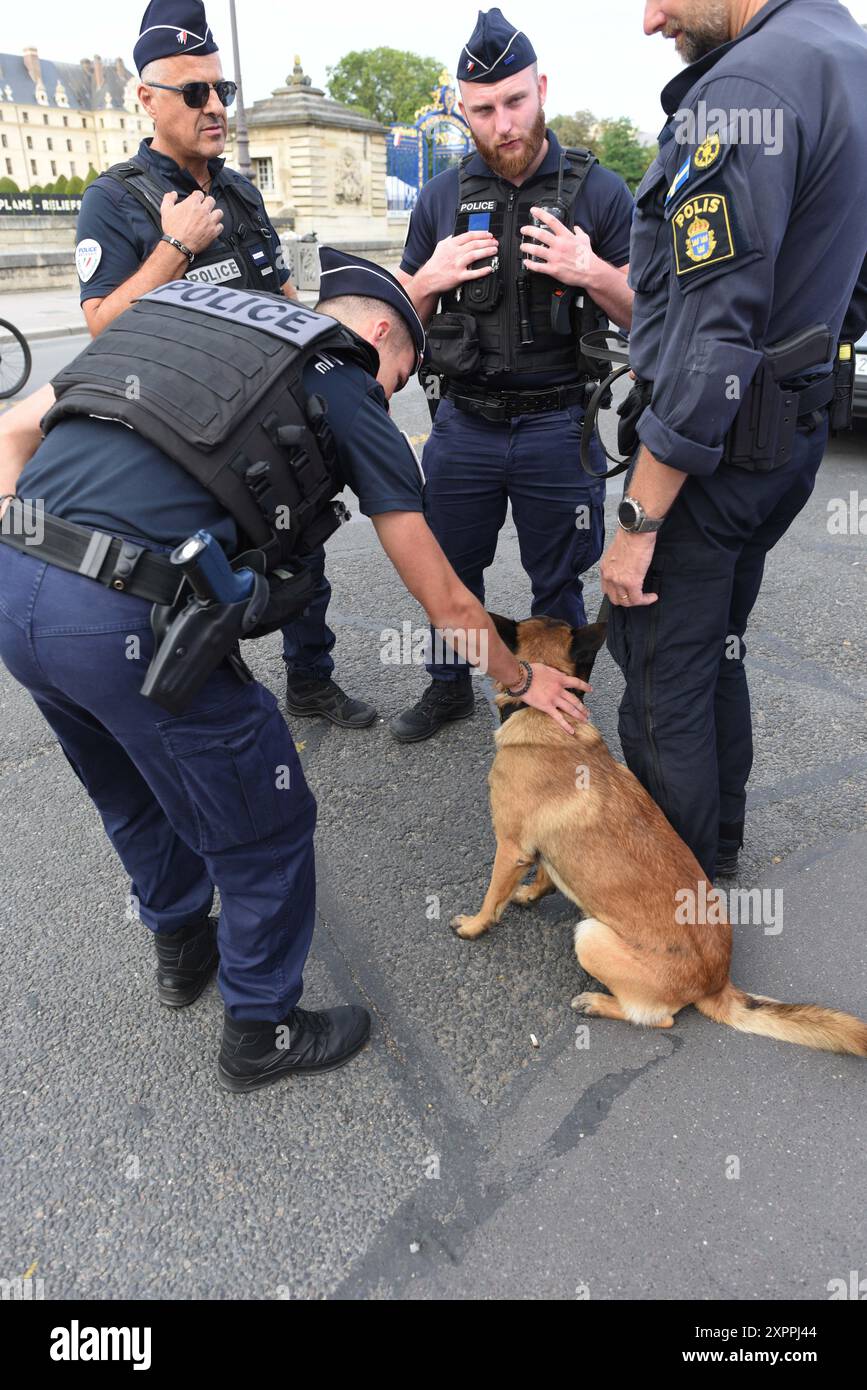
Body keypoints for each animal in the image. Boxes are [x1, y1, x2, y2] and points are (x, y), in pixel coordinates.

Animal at [450, 614, 867, 1056]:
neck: (545, 716)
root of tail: (716, 983)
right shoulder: (544, 847)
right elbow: (545, 873)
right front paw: (530, 893)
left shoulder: (510, 847)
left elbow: (493, 895)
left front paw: (475, 925)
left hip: (591, 937)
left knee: (657, 1017)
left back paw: (597, 1002)